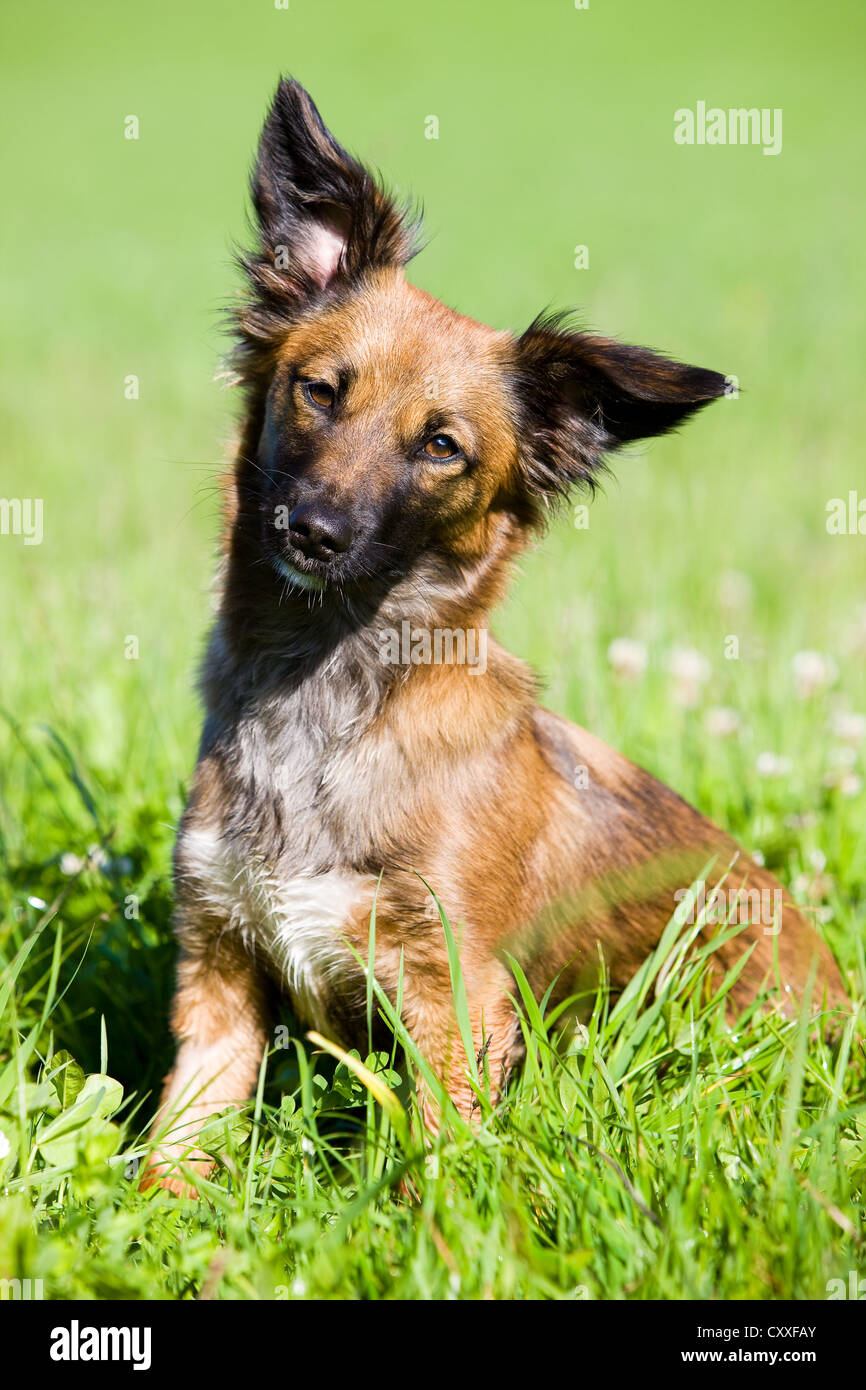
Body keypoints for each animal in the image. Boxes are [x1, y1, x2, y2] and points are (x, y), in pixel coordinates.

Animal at [142, 76, 845, 1189]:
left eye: (442, 447)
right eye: (319, 388)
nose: (312, 531)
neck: (325, 698)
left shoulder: (452, 999)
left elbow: (436, 1168)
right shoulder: (218, 975)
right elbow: (169, 1158)